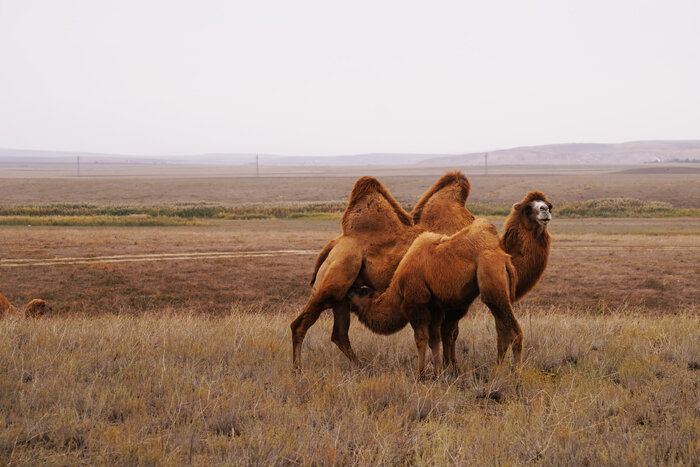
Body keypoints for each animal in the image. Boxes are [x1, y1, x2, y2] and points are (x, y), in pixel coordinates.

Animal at [350, 219, 520, 376]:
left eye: (361, 291)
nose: (350, 290)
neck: (397, 290)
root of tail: (504, 257)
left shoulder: (416, 305)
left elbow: (421, 339)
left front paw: (420, 374)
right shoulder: (434, 307)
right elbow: (434, 339)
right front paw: (438, 372)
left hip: (492, 284)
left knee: (514, 332)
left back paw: (515, 373)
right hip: (497, 293)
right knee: (502, 332)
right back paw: (498, 371)